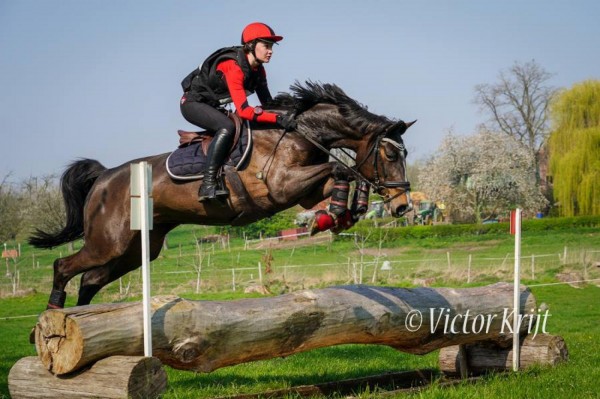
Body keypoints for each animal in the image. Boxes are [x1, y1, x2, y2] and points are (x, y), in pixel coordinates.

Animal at [27, 81, 412, 310]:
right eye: (390, 155)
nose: (403, 206)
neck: (300, 132)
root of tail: (104, 178)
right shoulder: (280, 186)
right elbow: (341, 169)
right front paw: (333, 217)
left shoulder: (304, 190)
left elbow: (341, 176)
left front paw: (340, 215)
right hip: (108, 242)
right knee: (64, 266)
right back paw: (53, 315)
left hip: (137, 248)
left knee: (90, 279)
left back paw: (82, 322)